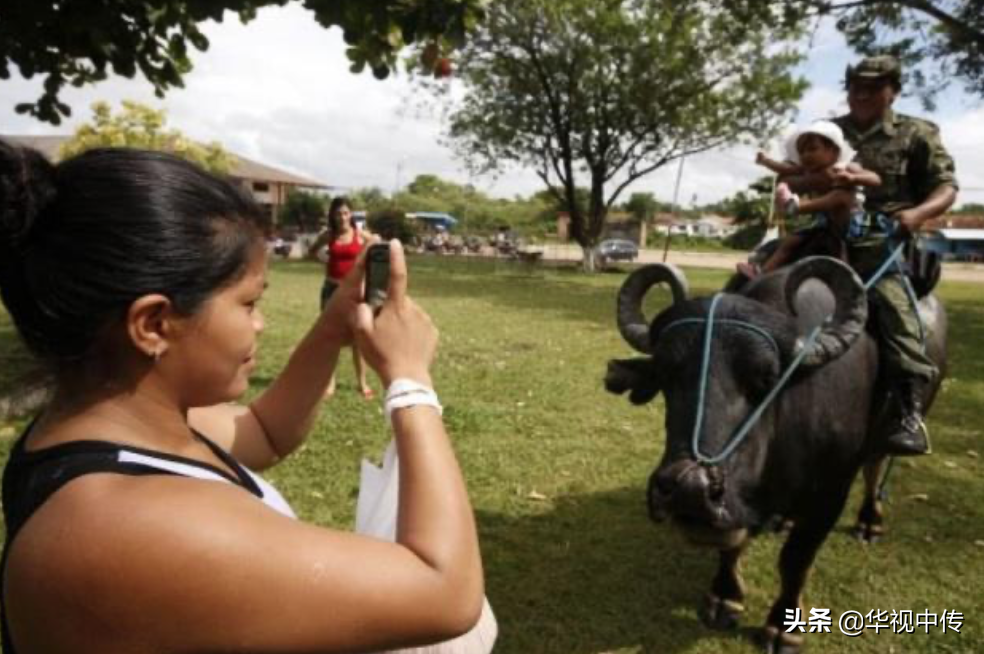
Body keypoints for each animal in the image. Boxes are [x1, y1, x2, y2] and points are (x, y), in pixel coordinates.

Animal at [604, 258, 948, 654]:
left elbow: (795, 560)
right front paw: (724, 597)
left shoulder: (830, 494)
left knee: (875, 470)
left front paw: (783, 627)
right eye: (665, 376)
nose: (690, 489)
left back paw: (869, 523)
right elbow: (731, 546)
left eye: (767, 378)